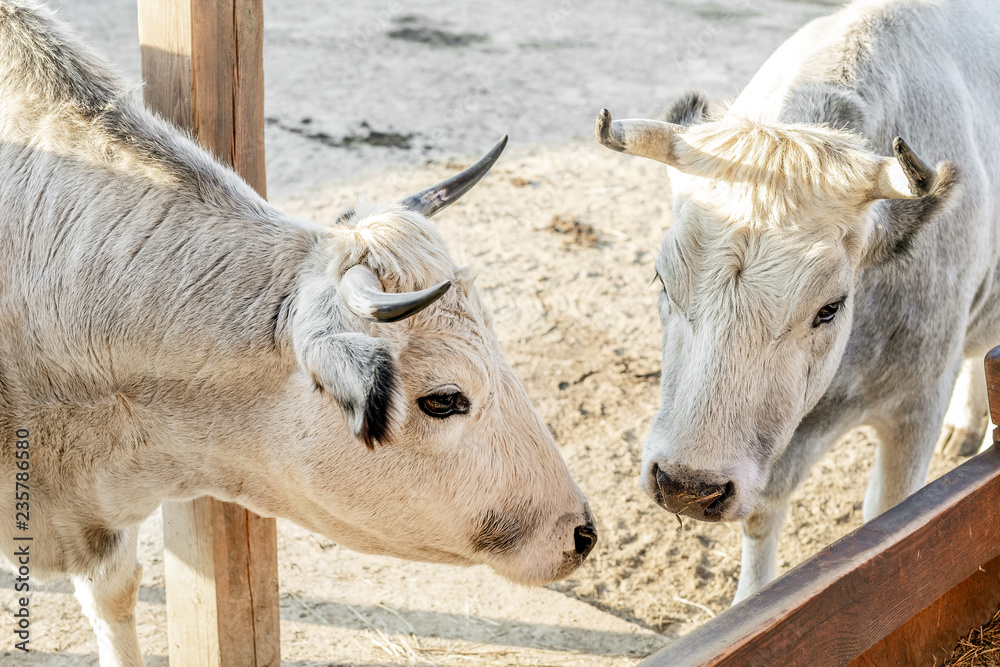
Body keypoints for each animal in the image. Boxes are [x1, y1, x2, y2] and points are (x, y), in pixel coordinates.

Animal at [596, 0, 999, 604]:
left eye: (829, 307)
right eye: (662, 280)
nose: (688, 486)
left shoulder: (918, 404)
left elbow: (891, 516)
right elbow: (762, 521)